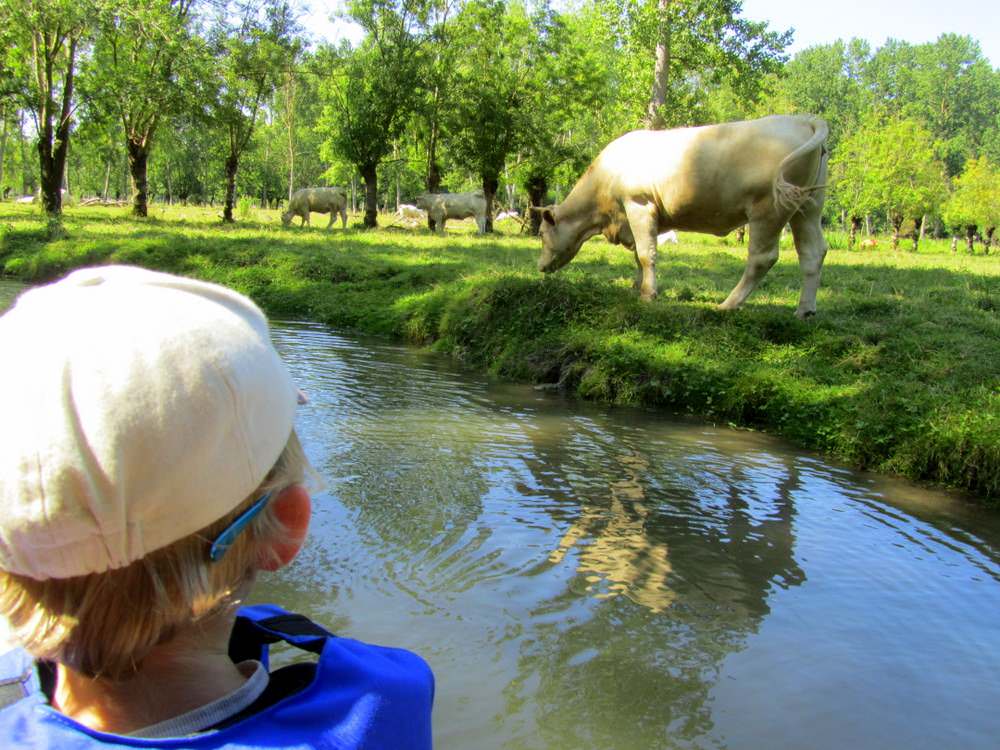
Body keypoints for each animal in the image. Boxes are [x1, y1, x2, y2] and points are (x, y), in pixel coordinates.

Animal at [536, 115, 832, 320]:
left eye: (540, 233)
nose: (539, 266)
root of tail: (801, 118)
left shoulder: (638, 204)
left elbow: (645, 253)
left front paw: (648, 294)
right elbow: (639, 256)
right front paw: (637, 286)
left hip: (768, 209)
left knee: (763, 258)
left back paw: (728, 304)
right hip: (808, 206)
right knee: (812, 252)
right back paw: (805, 310)